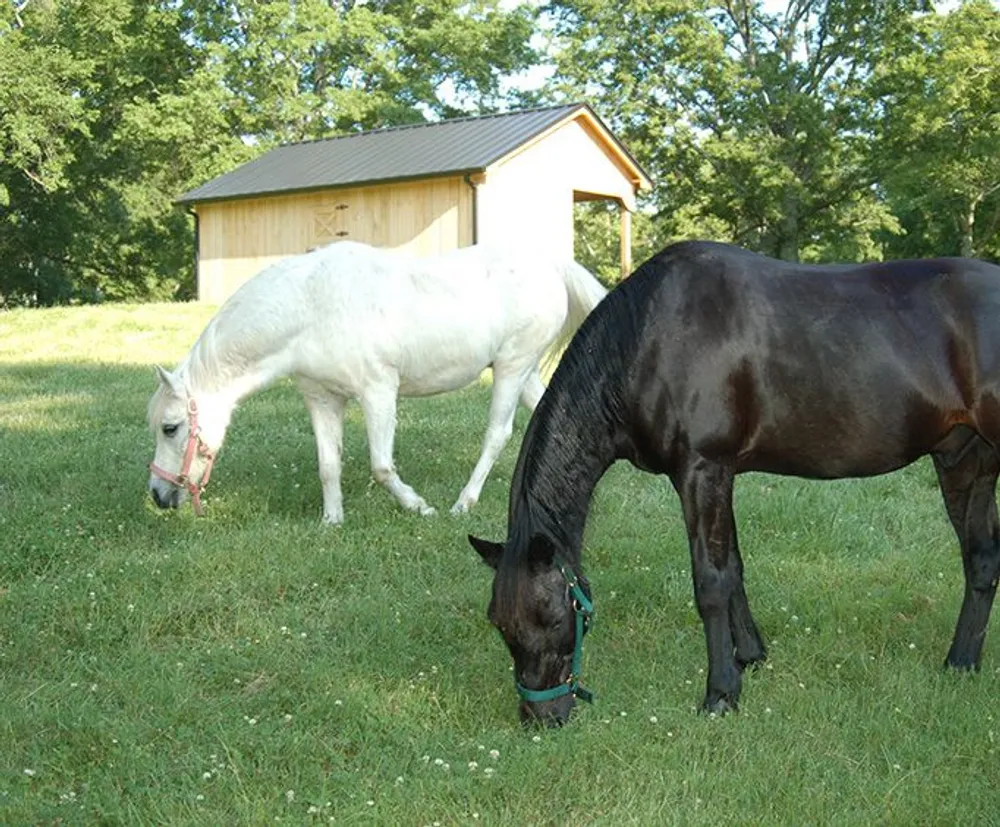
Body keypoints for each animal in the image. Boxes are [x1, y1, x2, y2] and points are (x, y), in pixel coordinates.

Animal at [147, 240, 606, 524]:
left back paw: (464, 502)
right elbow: (328, 465)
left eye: (171, 427)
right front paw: (332, 520)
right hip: (521, 372)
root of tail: (550, 263)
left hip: (512, 366)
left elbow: (381, 466)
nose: (157, 495)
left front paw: (419, 507)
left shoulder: (378, 392)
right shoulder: (322, 399)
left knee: (497, 434)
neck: (310, 307)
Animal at [469, 239, 1000, 727]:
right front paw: (749, 655)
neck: (650, 338)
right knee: (981, 559)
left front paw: (721, 693)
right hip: (964, 459)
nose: (541, 717)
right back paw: (961, 662)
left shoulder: (703, 471)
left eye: (555, 618)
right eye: (498, 623)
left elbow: (711, 582)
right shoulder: (720, 476)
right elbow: (734, 571)